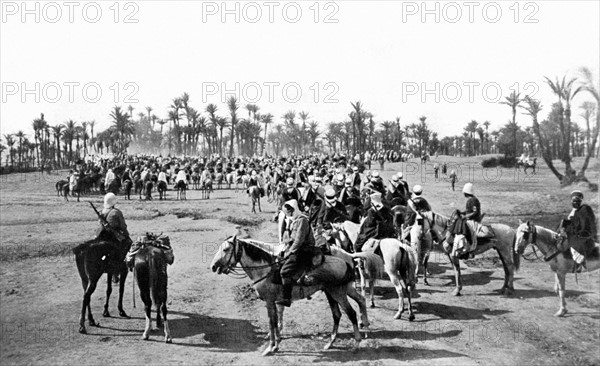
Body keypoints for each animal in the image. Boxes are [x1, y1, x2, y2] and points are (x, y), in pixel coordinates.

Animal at [211, 236, 370, 356]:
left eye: (225, 249)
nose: (213, 266)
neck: (266, 270)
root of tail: (346, 258)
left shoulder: (269, 301)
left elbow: (272, 322)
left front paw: (270, 347)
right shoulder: (275, 301)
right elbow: (275, 320)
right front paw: (276, 345)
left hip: (338, 292)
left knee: (351, 313)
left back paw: (356, 343)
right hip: (333, 292)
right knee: (341, 312)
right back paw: (332, 342)